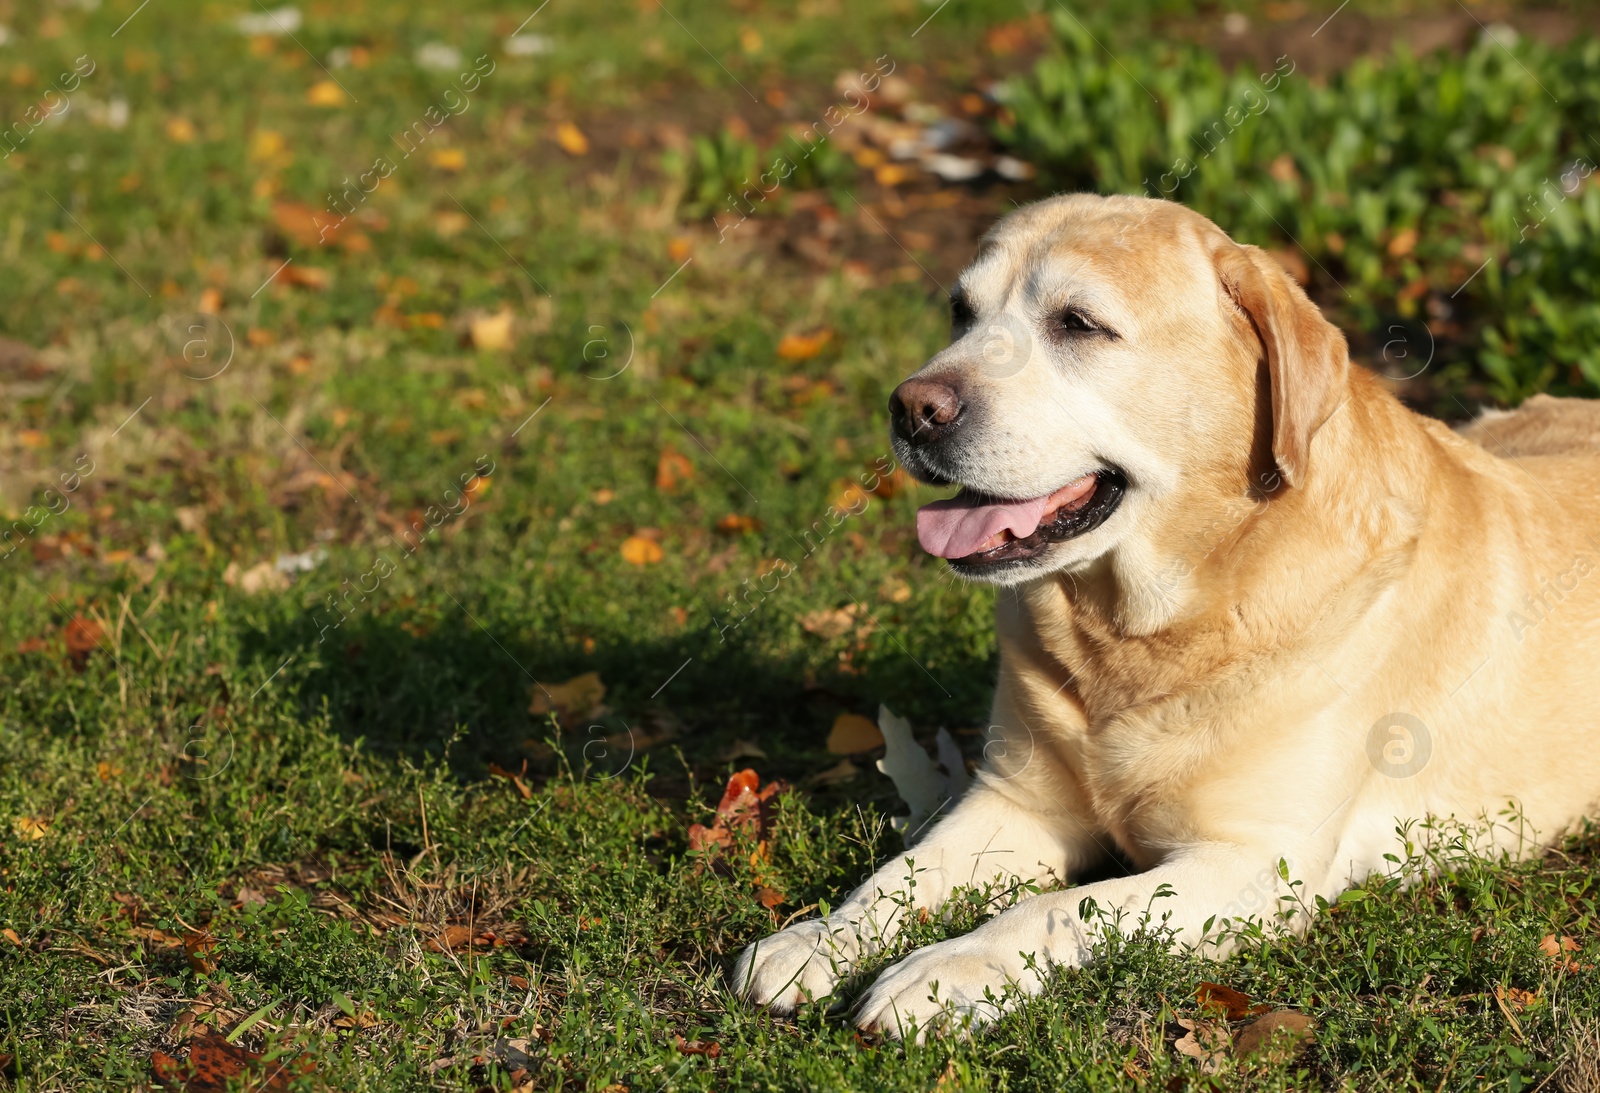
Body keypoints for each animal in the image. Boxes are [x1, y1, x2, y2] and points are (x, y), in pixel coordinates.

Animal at [732, 192, 1600, 1036]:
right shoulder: (1014, 800)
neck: (1140, 629)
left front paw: (944, 971)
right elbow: (903, 870)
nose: (911, 407)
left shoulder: (1252, 863)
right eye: (959, 312)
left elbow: (1053, 910)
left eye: (1078, 323)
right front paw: (818, 938)